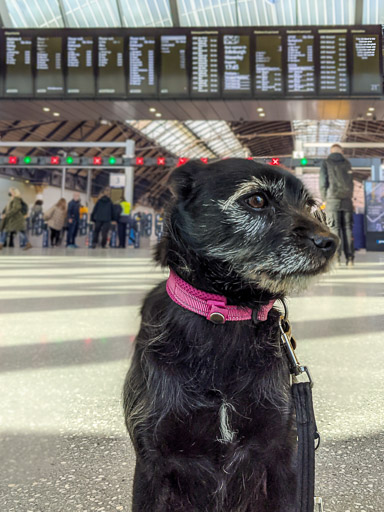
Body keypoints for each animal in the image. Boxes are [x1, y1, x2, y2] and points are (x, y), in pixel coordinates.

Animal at [124, 160, 338, 512]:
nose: (331, 242)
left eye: (310, 205)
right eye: (256, 200)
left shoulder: (283, 453)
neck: (226, 314)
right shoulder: (152, 460)